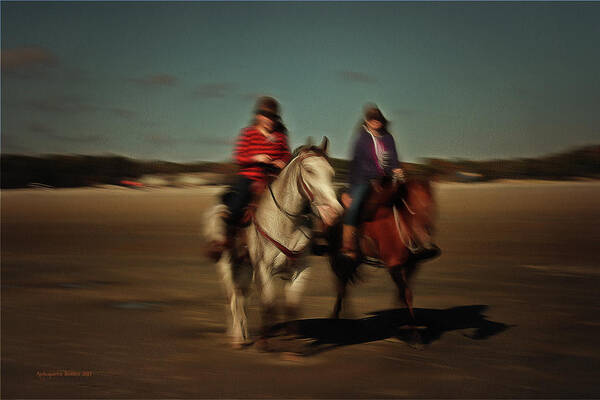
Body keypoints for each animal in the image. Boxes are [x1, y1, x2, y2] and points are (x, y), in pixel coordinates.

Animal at [204, 138, 342, 346]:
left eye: (331, 172)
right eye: (309, 170)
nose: (334, 212)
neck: (286, 223)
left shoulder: (300, 270)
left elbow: (292, 306)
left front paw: (292, 344)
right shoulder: (264, 269)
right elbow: (269, 304)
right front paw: (265, 343)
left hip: (246, 267)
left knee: (242, 296)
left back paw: (243, 333)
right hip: (226, 264)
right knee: (233, 295)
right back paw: (237, 337)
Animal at [328, 177, 440, 326]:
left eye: (431, 204)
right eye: (413, 206)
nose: (427, 242)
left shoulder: (411, 265)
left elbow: (402, 293)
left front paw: (399, 319)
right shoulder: (394, 265)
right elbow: (406, 294)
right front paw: (412, 328)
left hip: (355, 258)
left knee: (344, 283)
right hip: (338, 256)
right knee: (341, 283)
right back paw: (336, 317)